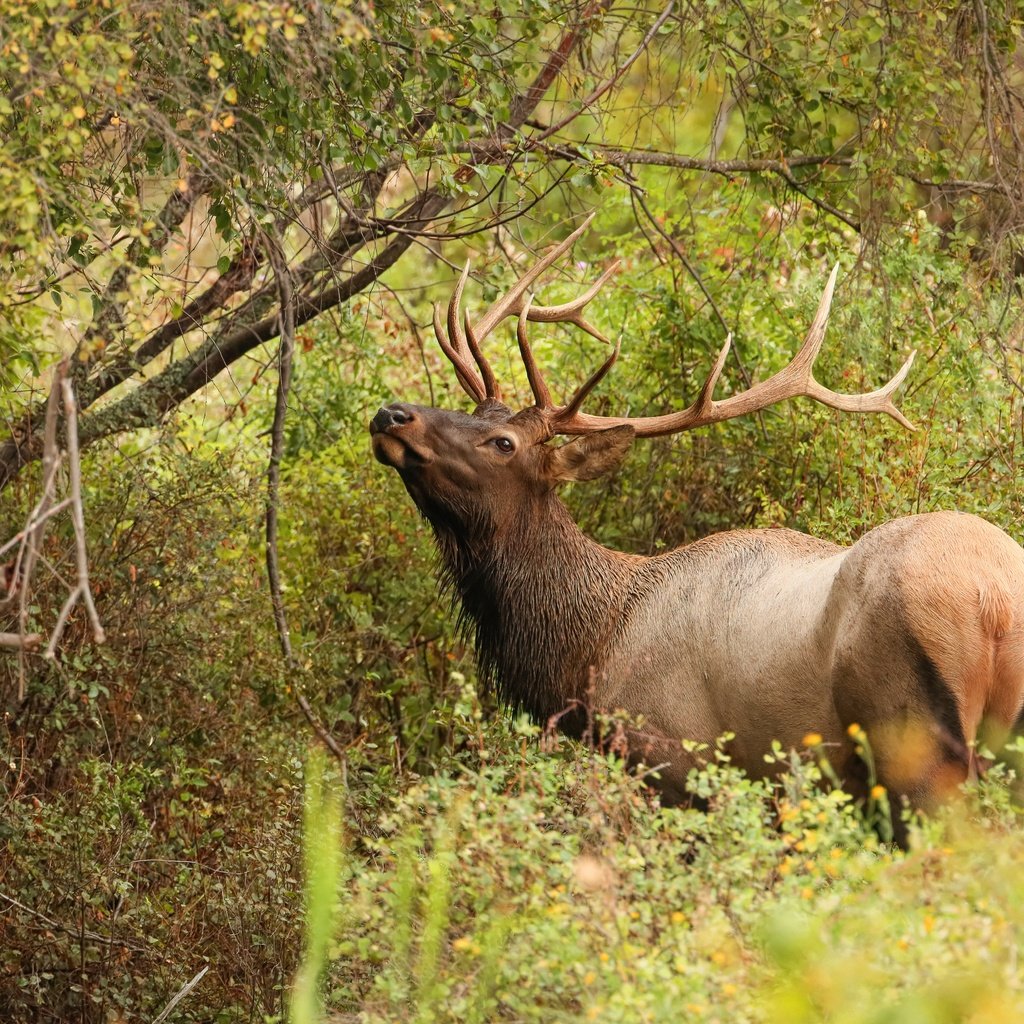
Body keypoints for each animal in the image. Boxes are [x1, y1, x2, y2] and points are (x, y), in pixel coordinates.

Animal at [372, 218, 1024, 831]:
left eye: (503, 442)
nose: (391, 413)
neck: (591, 651)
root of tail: (993, 600)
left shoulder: (671, 758)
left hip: (914, 740)